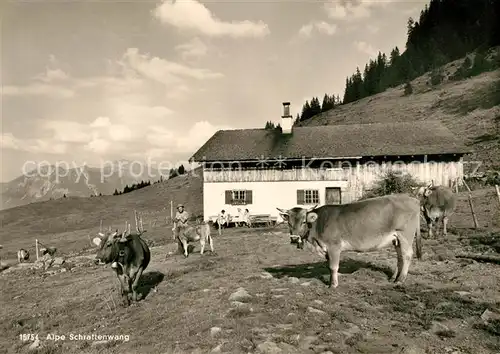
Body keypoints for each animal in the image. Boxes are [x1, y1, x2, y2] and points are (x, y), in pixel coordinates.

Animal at [278, 194, 422, 288]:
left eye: (303, 221)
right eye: (289, 222)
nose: (294, 238)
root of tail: (414, 199)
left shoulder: (334, 246)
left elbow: (333, 266)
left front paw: (333, 285)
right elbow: (329, 266)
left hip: (405, 235)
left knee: (407, 255)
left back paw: (400, 280)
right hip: (396, 238)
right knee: (400, 257)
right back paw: (393, 278)